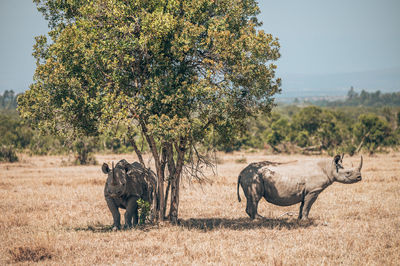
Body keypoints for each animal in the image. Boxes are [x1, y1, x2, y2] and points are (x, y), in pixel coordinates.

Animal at [236, 155, 364, 219]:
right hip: (252, 176)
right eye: (348, 173)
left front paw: (299, 219)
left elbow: (303, 206)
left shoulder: (306, 191)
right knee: (255, 198)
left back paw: (257, 218)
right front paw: (306, 220)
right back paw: (259, 219)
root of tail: (241, 172)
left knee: (251, 198)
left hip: (251, 176)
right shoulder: (314, 191)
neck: (329, 168)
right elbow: (308, 205)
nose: (359, 177)